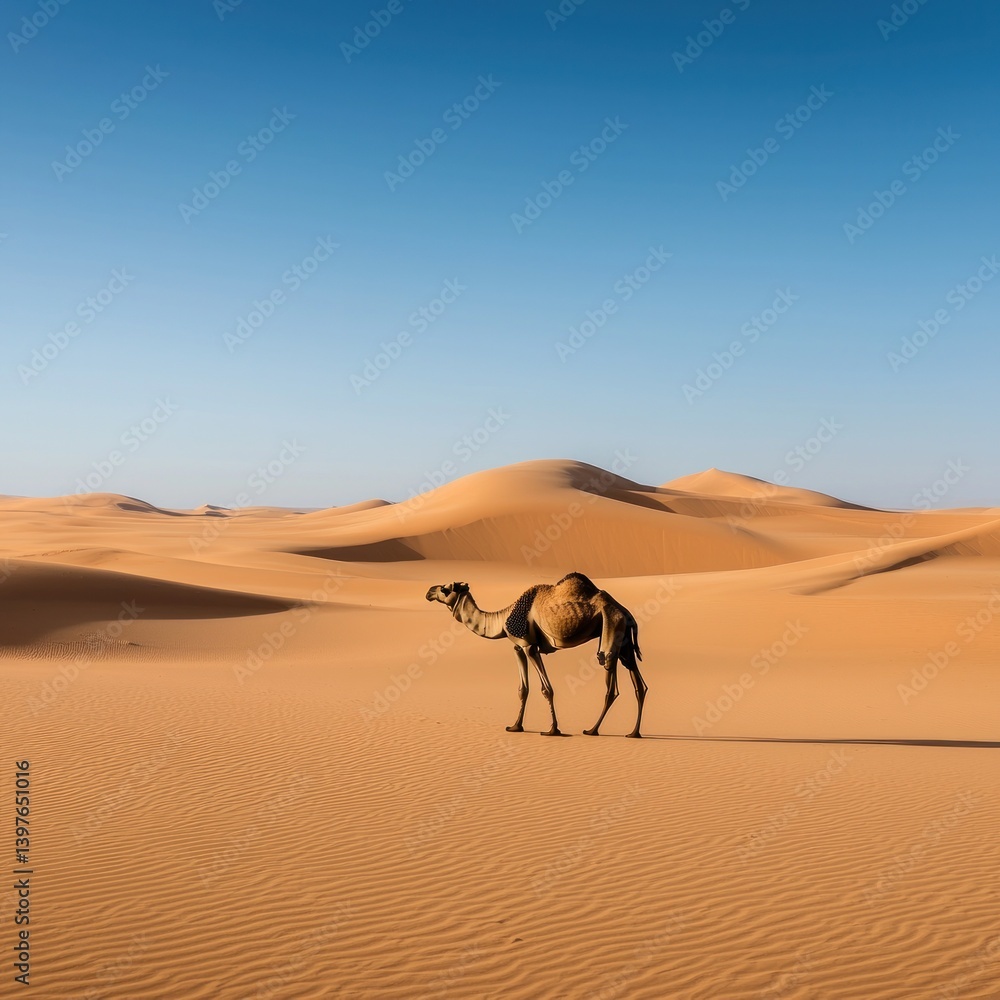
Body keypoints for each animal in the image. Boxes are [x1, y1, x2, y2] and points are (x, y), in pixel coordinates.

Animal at [425, 572, 647, 738]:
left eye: (445, 588)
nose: (429, 591)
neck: (503, 619)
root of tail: (627, 614)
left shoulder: (529, 646)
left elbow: (546, 689)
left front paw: (552, 730)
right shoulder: (517, 648)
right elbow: (523, 689)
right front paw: (515, 727)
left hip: (611, 627)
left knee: (610, 679)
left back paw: (592, 730)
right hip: (624, 641)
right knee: (639, 684)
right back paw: (633, 733)